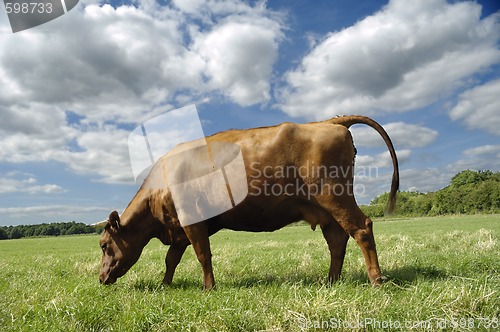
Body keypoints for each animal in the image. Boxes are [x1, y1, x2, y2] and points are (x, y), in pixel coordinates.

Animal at [98, 115, 398, 290]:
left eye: (103, 244)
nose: (100, 279)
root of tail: (329, 122)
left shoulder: (192, 220)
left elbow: (202, 255)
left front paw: (209, 288)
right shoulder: (181, 227)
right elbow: (171, 258)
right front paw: (165, 284)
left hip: (335, 196)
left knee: (362, 229)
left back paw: (376, 280)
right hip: (326, 209)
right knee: (337, 241)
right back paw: (331, 281)